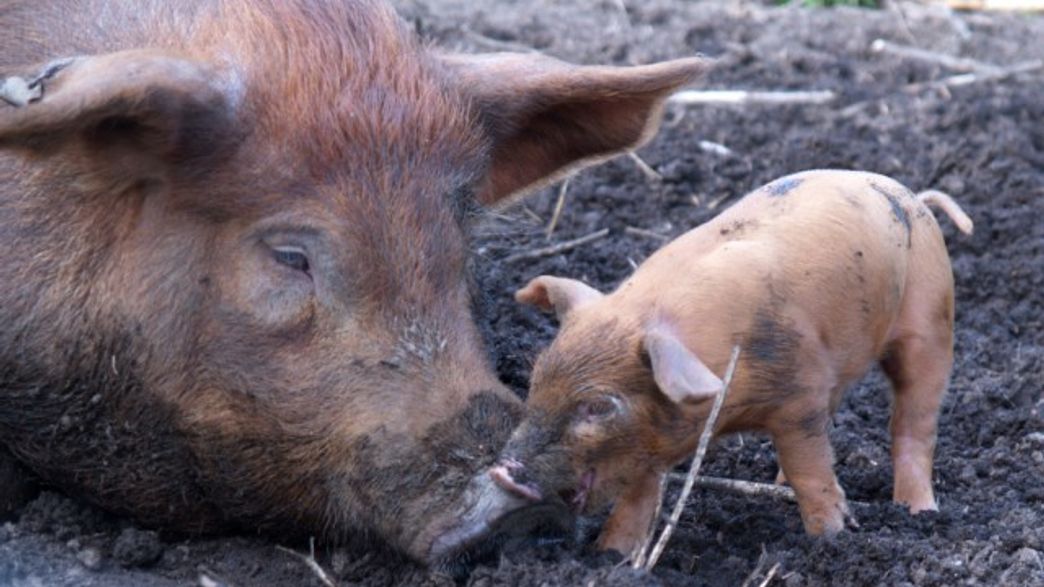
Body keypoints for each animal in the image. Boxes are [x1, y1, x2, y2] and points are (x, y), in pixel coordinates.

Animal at [491, 170, 973, 556]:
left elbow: (810, 469)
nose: (503, 470)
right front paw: (610, 556)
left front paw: (831, 538)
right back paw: (778, 486)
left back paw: (917, 511)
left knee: (914, 422)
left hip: (931, 317)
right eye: (535, 383)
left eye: (598, 407)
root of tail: (916, 198)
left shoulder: (798, 396)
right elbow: (637, 498)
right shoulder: (651, 441)